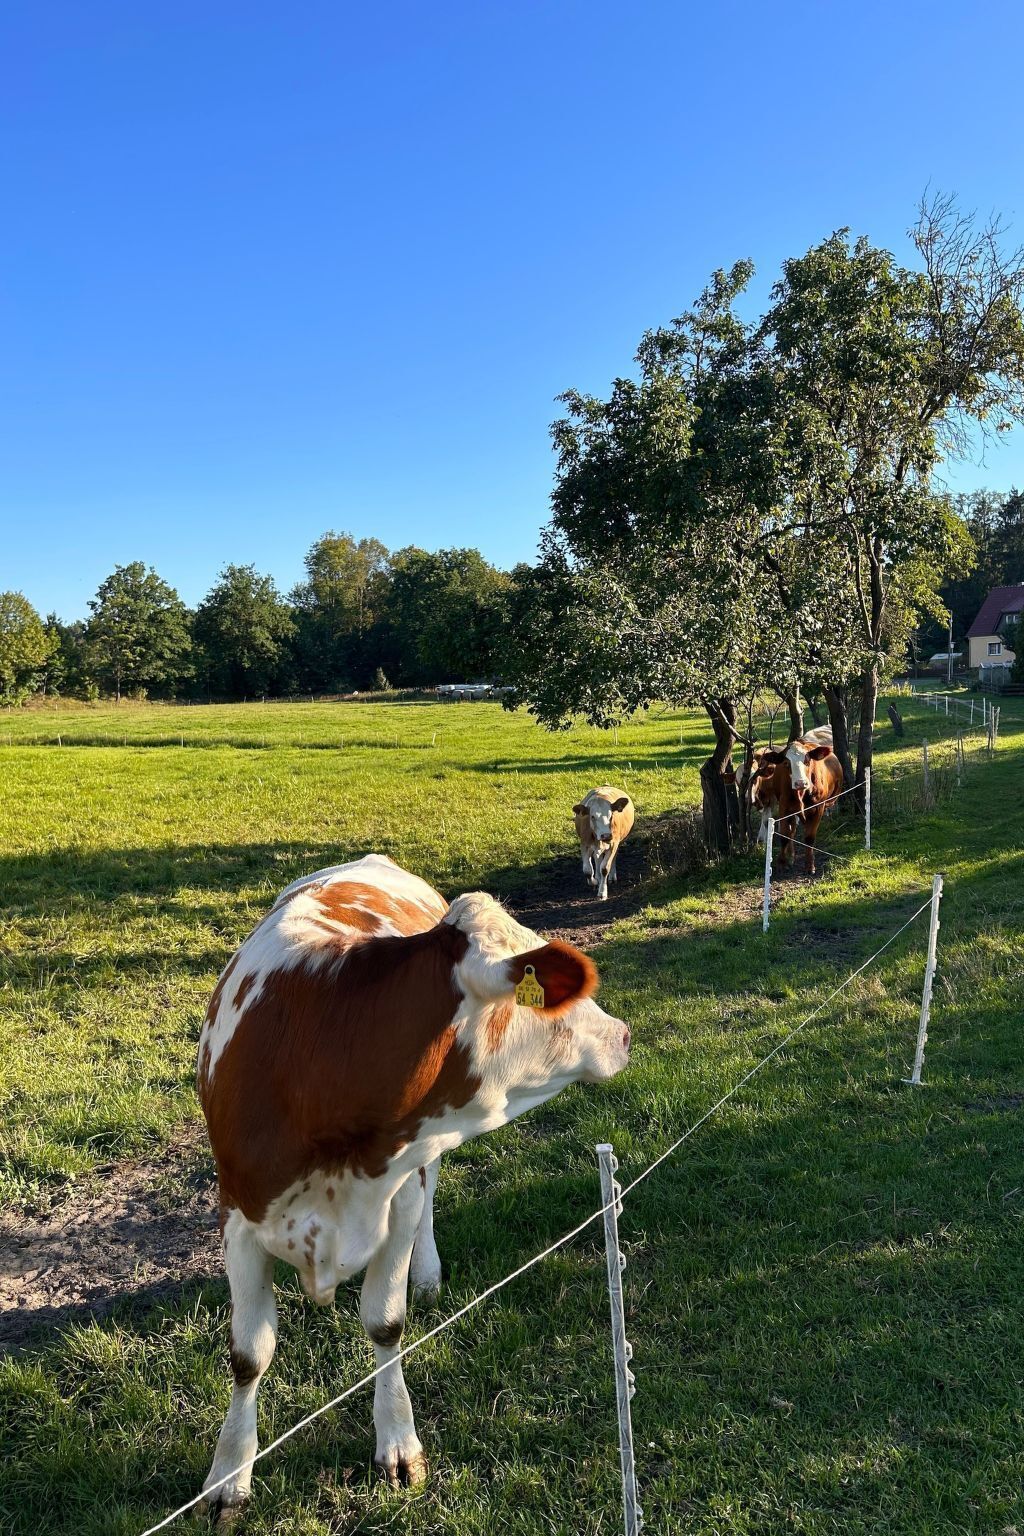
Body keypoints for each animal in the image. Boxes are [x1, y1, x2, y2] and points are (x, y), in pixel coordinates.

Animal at [195, 853, 630, 1515]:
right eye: (548, 999)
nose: (623, 1033)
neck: (324, 1056)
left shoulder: (397, 1194)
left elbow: (385, 1322)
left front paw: (398, 1441)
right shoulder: (238, 1217)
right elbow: (249, 1354)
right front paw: (229, 1474)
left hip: (426, 1161)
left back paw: (426, 1272)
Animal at [753, 735, 844, 874]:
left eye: (807, 760)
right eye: (786, 763)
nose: (800, 783)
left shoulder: (818, 807)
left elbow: (809, 837)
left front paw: (810, 866)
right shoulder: (784, 806)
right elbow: (785, 835)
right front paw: (782, 863)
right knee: (792, 830)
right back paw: (791, 856)